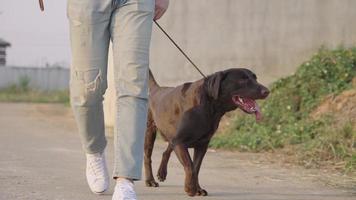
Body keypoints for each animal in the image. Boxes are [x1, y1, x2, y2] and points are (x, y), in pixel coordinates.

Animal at [143, 68, 268, 196]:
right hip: (150, 132)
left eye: (255, 78)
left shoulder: (201, 145)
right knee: (147, 157)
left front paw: (197, 188)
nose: (267, 91)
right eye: (242, 80)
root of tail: (156, 89)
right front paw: (190, 188)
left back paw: (162, 173)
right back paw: (150, 180)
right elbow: (190, 166)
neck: (209, 105)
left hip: (172, 136)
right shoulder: (180, 142)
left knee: (166, 151)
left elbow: (196, 168)